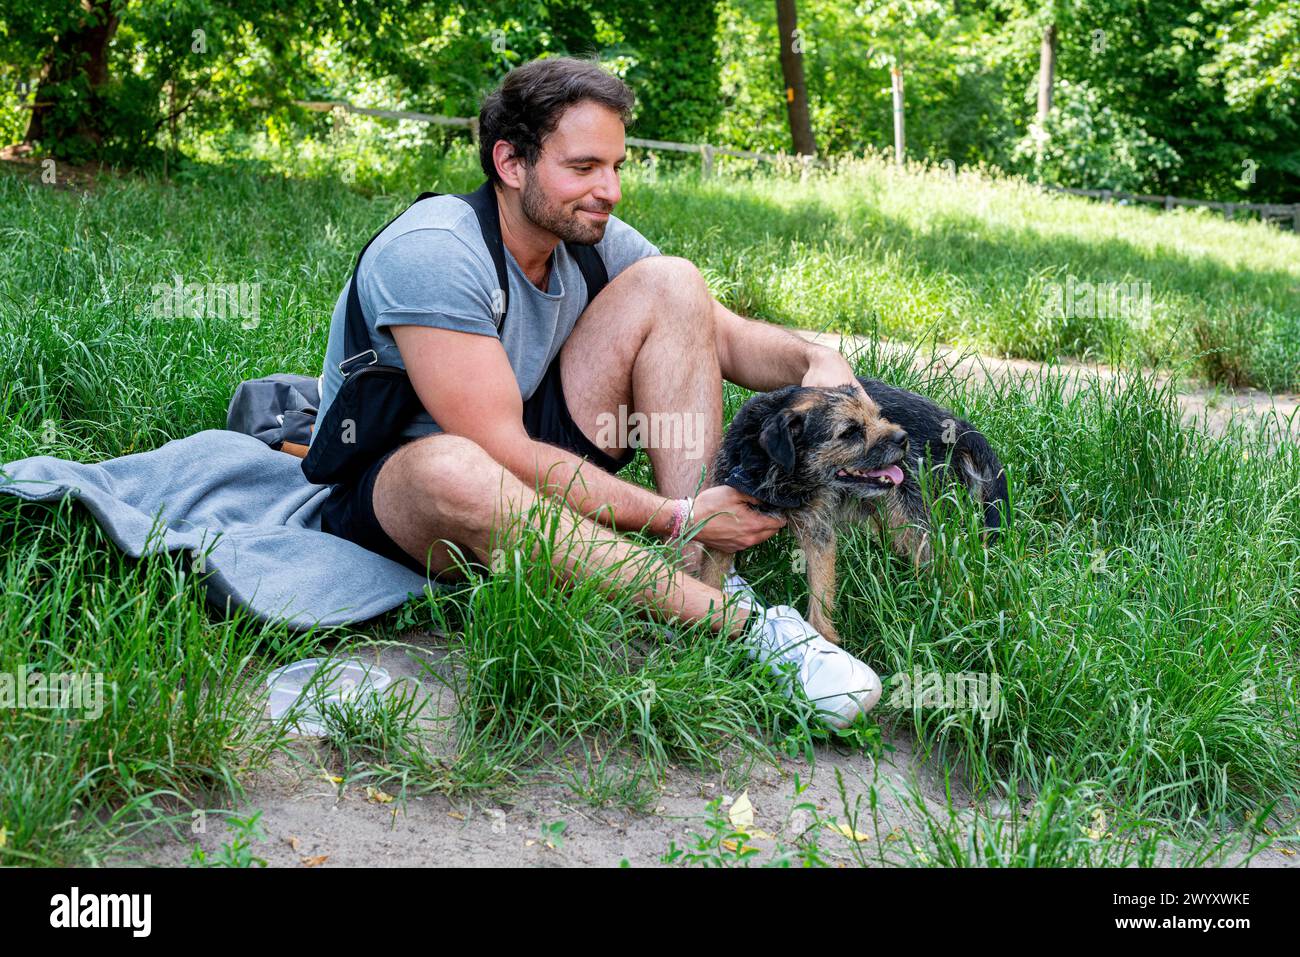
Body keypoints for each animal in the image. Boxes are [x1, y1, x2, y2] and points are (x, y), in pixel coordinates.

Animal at [696, 374, 1008, 642]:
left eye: (878, 415)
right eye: (850, 432)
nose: (903, 438)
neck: (783, 477)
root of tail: (957, 425)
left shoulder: (818, 533)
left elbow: (821, 592)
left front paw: (822, 639)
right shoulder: (727, 524)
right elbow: (710, 577)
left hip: (910, 517)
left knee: (942, 564)